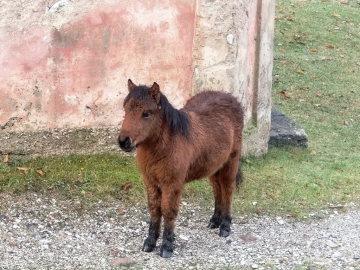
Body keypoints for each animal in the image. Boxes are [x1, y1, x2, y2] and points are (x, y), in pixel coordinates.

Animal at [119, 79, 243, 258]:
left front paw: (167, 245)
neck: (166, 145)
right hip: (213, 166)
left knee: (227, 189)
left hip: (230, 162)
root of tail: (230, 98)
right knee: (217, 188)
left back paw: (225, 226)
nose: (123, 142)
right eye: (126, 109)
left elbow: (168, 211)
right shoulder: (151, 182)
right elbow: (154, 209)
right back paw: (215, 220)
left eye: (147, 113)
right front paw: (150, 242)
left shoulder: (173, 184)